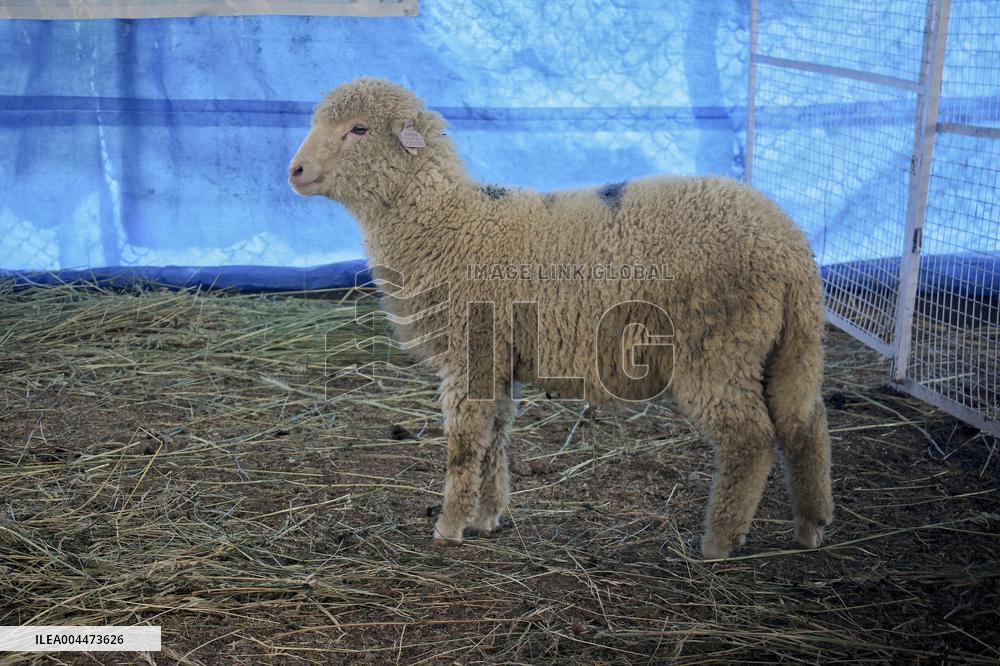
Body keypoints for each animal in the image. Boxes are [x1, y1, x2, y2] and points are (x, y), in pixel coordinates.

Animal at [288, 78, 834, 559]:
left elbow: (464, 442)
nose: (294, 170)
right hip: (785, 344)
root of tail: (788, 244)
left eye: (359, 129)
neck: (449, 223)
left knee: (751, 438)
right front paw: (487, 515)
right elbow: (495, 434)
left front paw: (449, 526)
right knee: (805, 423)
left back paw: (719, 541)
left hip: (716, 346)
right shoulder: (497, 357)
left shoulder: (471, 348)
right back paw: (810, 527)